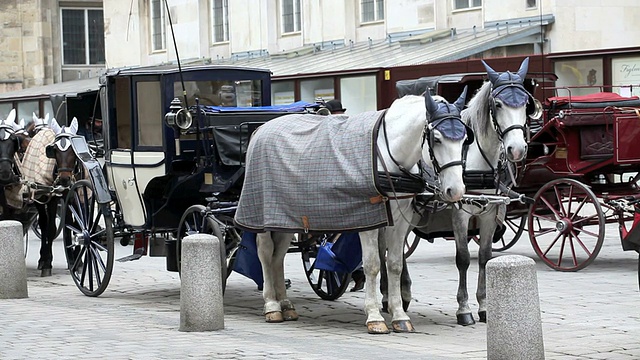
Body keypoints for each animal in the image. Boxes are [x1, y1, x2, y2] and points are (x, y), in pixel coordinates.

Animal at [235, 88, 470, 334]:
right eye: (437, 139)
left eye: (465, 139)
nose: (456, 190)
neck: (385, 154)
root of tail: (261, 128)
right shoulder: (368, 218)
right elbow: (373, 265)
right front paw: (375, 316)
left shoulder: (400, 220)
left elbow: (394, 264)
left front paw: (399, 315)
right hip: (262, 215)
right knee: (265, 253)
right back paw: (271, 305)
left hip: (284, 217)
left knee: (278, 255)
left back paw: (285, 304)